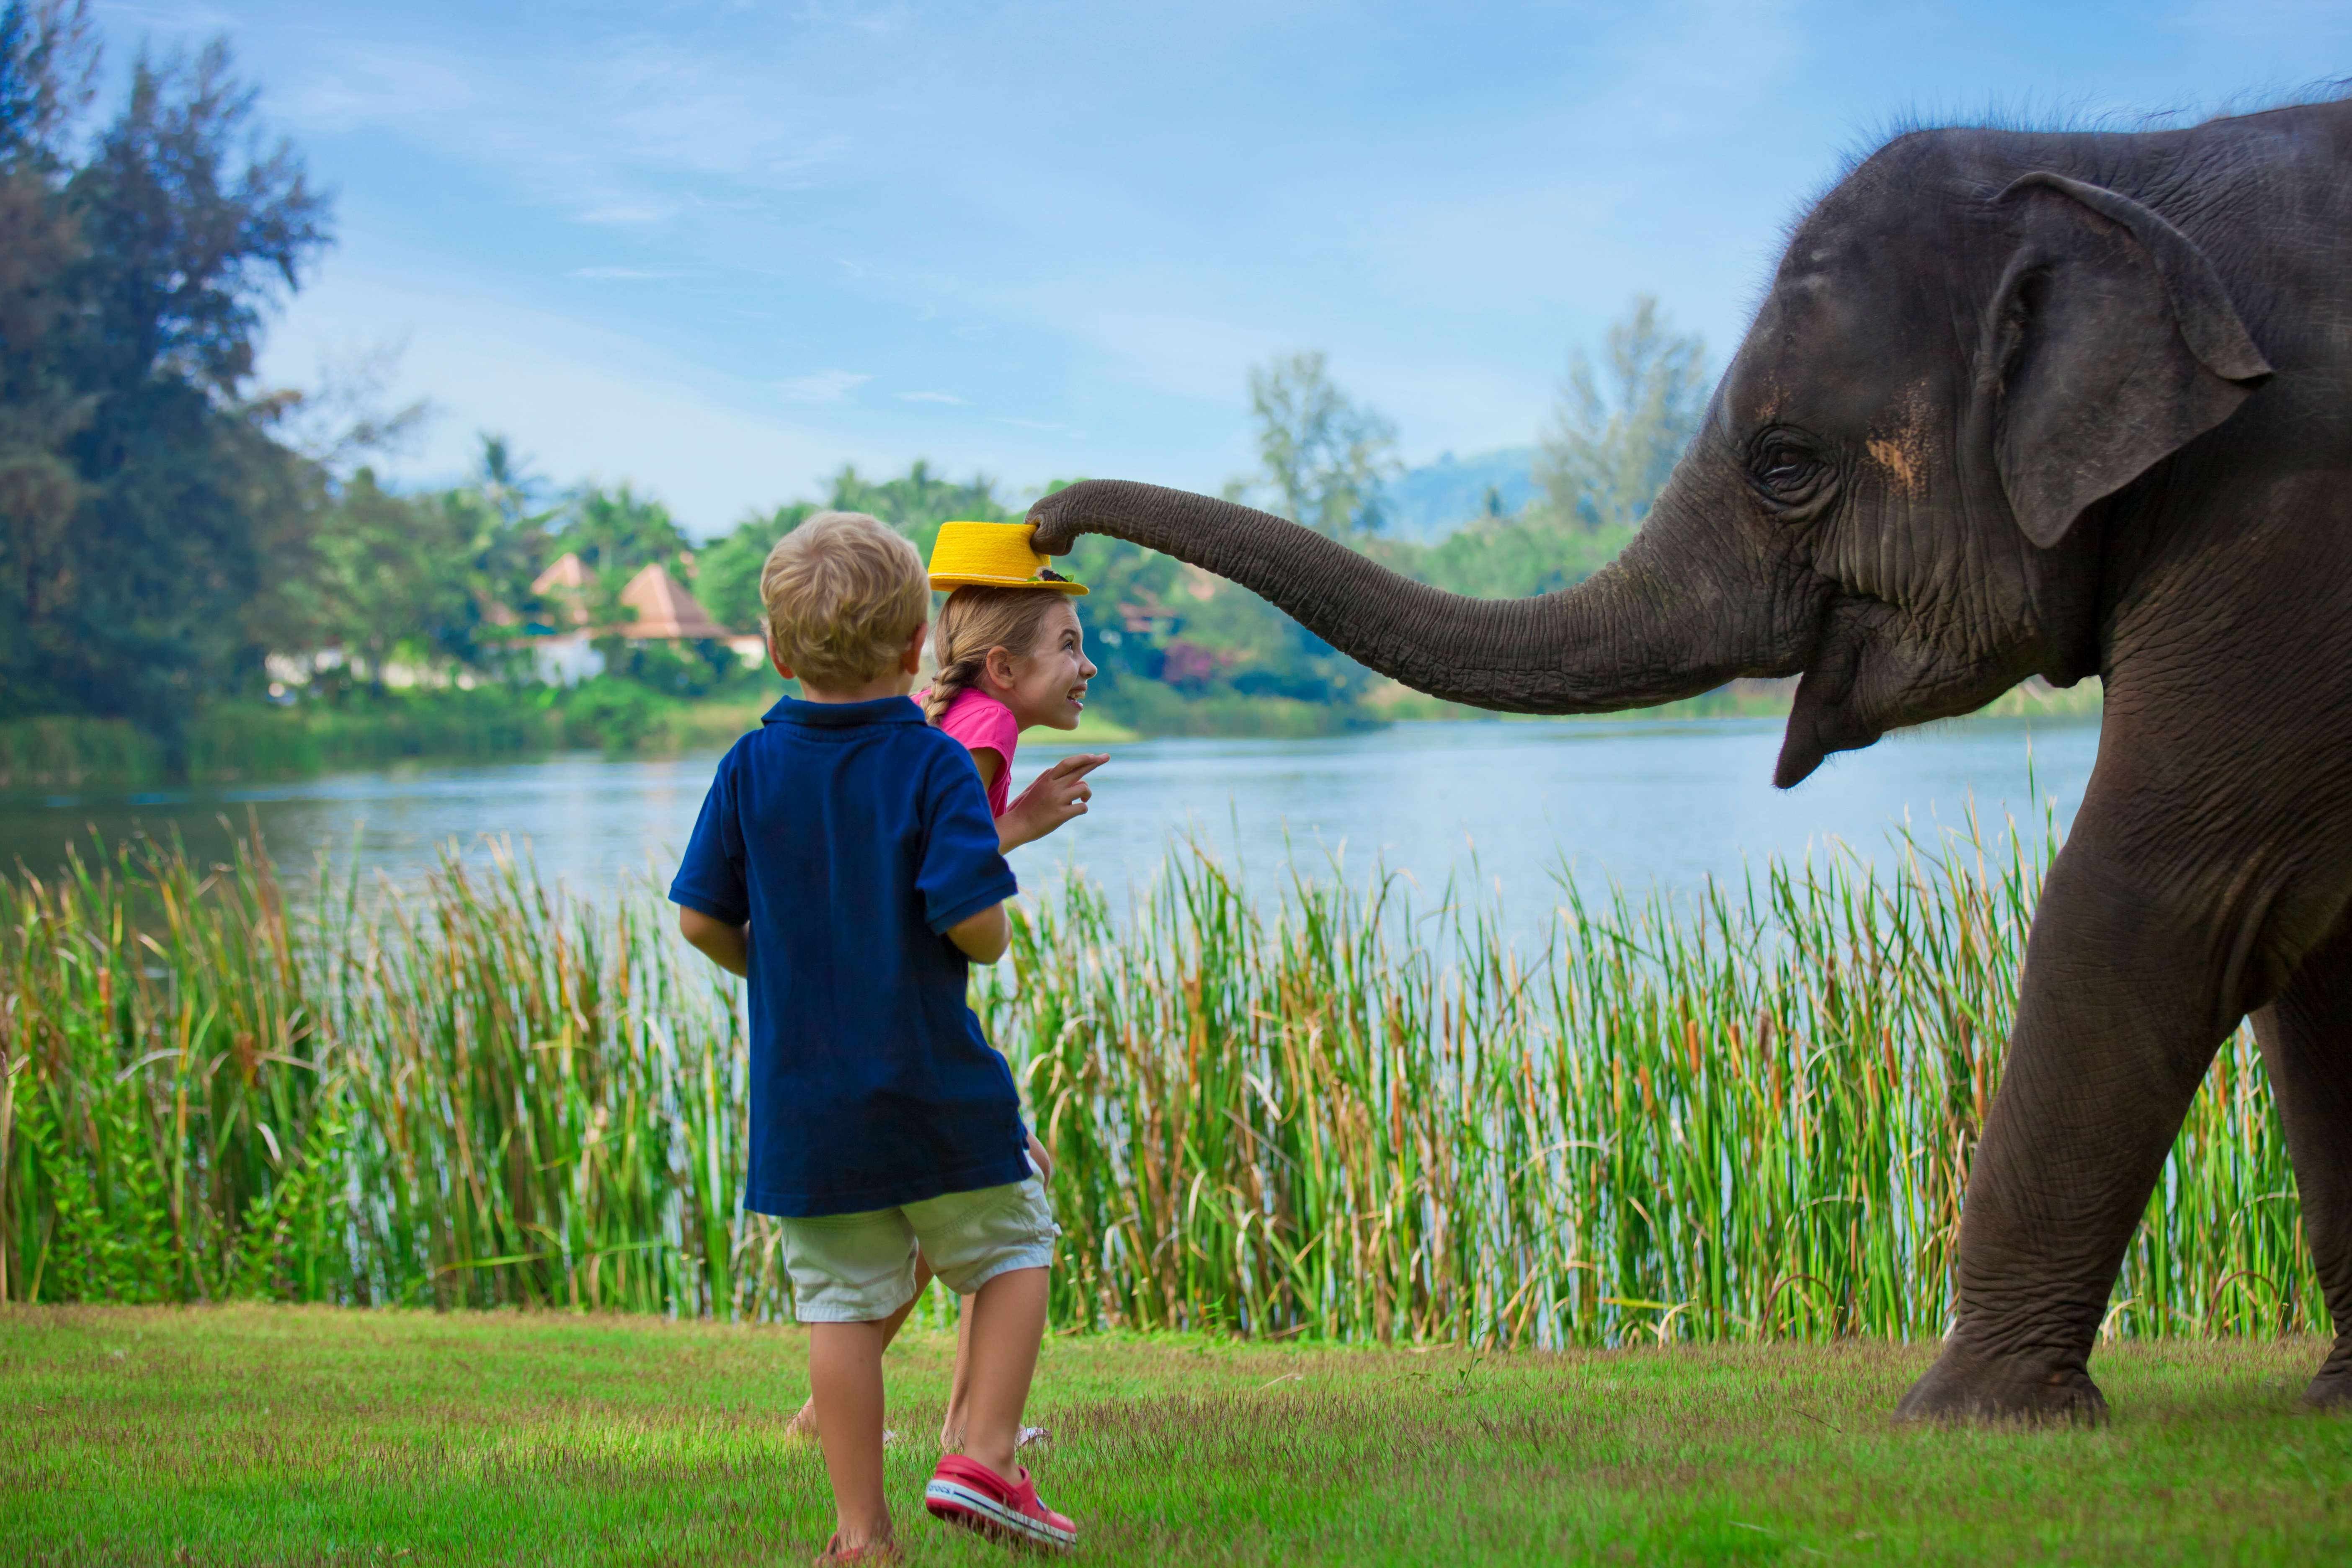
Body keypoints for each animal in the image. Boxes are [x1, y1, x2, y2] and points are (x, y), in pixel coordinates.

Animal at [1035, 95, 2352, 1420]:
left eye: (1784, 463)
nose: (1047, 528)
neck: (2121, 164)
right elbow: (2300, 948)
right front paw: (2332, 1400)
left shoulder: (2283, 504)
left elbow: (2164, 891)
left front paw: (1967, 1416)